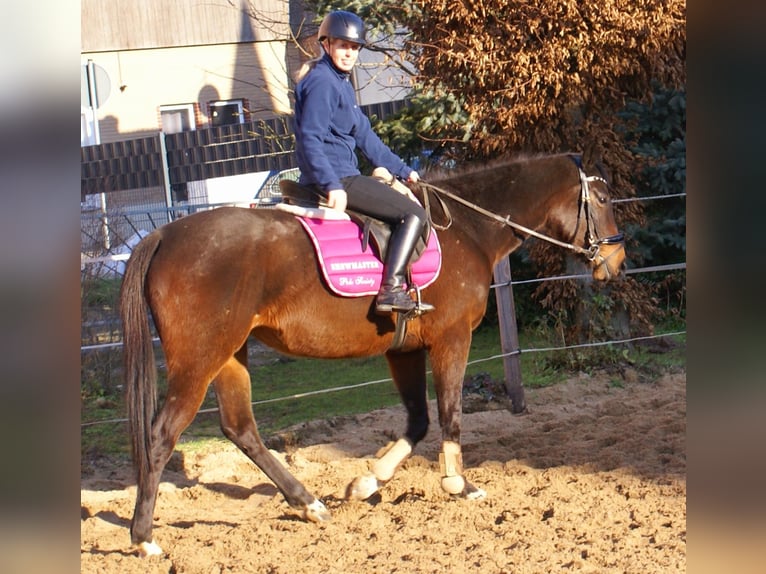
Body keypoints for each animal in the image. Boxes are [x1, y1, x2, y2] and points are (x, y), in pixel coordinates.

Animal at [120, 152, 626, 556]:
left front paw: (366, 483)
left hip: (229, 354)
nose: (617, 262)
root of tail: (163, 236)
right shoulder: (451, 339)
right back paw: (144, 538)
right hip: (199, 358)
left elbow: (418, 420)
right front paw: (459, 484)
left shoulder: (404, 349)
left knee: (240, 428)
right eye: (602, 199)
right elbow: (450, 413)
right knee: (163, 434)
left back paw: (309, 504)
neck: (468, 232)